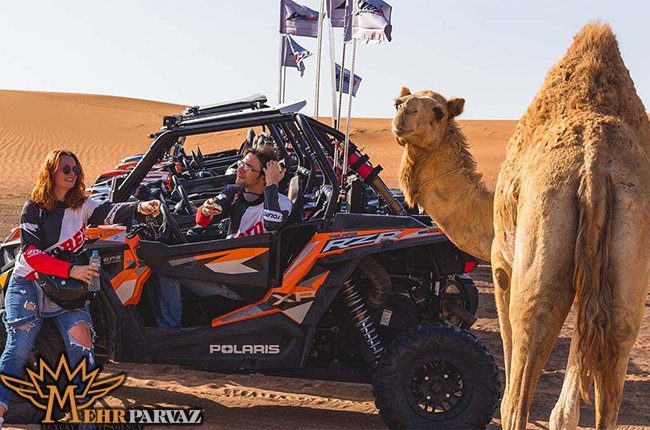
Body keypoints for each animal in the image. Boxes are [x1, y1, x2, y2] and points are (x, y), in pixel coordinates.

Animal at [390, 21, 648, 428]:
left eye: (437, 111)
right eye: (402, 101)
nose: (402, 112)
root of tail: (595, 162)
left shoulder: (501, 263)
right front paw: (564, 415)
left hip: (543, 233)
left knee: (526, 349)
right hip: (628, 247)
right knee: (618, 341)